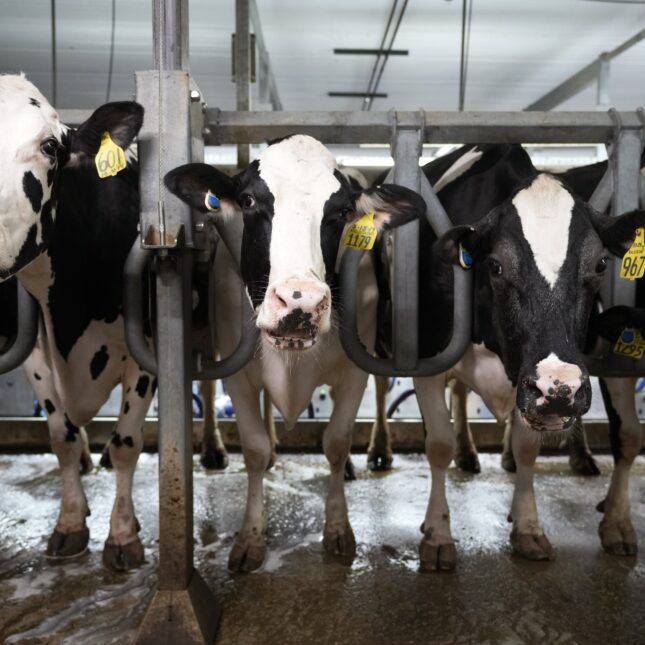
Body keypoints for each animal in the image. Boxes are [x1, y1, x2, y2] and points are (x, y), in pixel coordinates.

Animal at [0, 73, 148, 572]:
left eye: (50, 146)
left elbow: (126, 443)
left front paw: (122, 535)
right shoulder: (35, 351)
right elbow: (60, 437)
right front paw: (69, 523)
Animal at [165, 133, 422, 572]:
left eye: (342, 211)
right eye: (249, 200)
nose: (301, 302)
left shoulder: (354, 373)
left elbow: (336, 441)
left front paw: (338, 530)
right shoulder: (239, 375)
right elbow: (253, 448)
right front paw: (251, 538)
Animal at [408, 142, 644, 568]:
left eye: (601, 264)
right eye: (496, 265)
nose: (559, 387)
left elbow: (530, 449)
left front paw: (530, 526)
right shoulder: (427, 358)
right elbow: (437, 444)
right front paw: (437, 534)